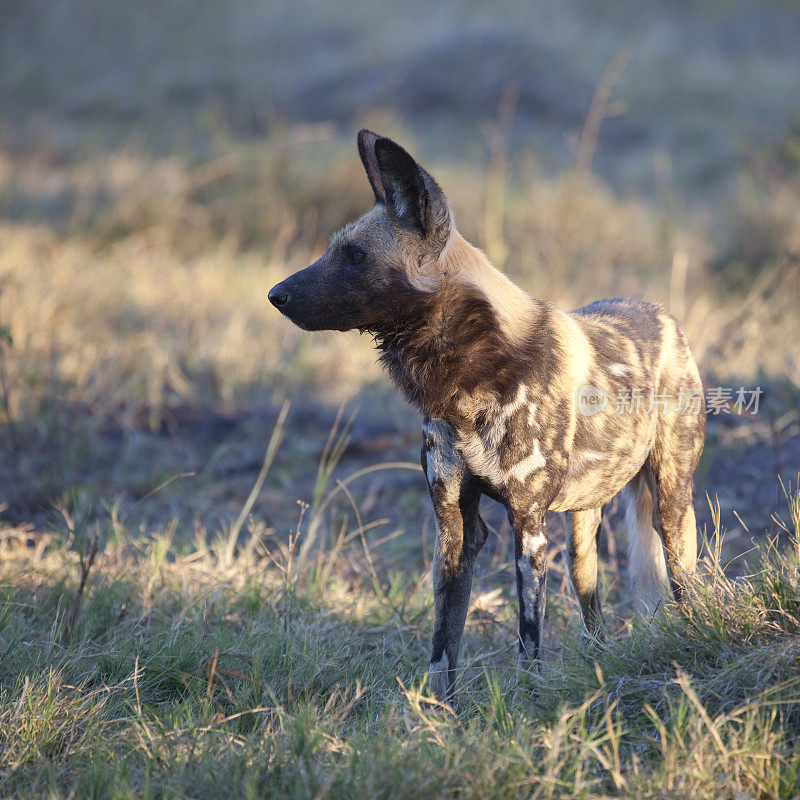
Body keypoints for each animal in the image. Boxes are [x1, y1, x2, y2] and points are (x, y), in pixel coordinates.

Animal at [270, 131, 708, 700]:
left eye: (355, 256)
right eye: (332, 250)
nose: (275, 295)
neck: (467, 380)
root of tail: (662, 312)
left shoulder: (528, 527)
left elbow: (529, 641)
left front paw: (530, 703)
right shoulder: (455, 528)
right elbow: (443, 646)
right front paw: (439, 712)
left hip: (671, 510)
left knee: (683, 582)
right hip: (582, 533)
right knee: (593, 610)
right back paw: (599, 665)